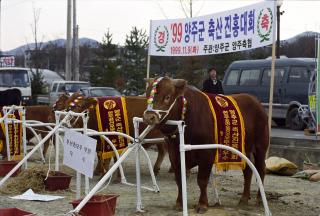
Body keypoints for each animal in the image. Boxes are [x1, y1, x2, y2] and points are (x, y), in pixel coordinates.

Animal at [144, 77, 268, 213]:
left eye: (167, 97)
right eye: (147, 96)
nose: (149, 117)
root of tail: (254, 100)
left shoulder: (207, 154)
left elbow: (202, 180)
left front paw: (202, 204)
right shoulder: (174, 154)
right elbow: (179, 179)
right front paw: (179, 203)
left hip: (261, 146)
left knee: (261, 169)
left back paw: (259, 199)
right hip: (244, 150)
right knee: (248, 171)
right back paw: (244, 199)